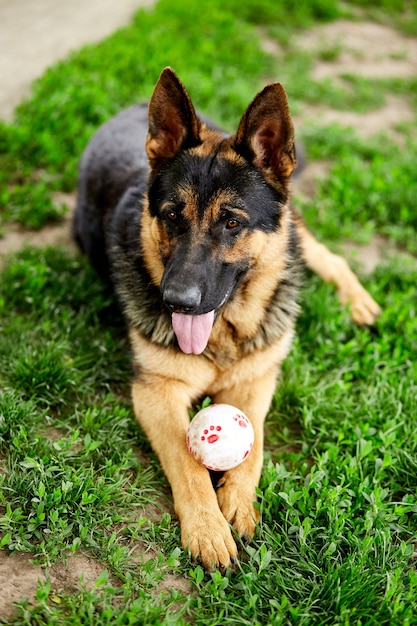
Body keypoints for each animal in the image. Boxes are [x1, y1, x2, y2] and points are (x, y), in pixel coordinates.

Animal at [73, 66, 378, 568]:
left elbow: (253, 447)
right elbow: (187, 460)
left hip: (295, 227)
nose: (176, 301)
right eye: (170, 216)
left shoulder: (256, 381)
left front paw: (237, 504)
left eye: (232, 223)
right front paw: (208, 528)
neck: (224, 336)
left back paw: (358, 300)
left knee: (317, 250)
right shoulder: (156, 393)